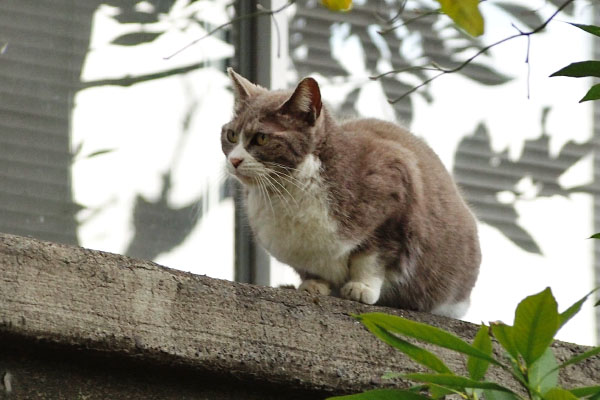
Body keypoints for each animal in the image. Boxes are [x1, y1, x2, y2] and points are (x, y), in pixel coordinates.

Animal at [221, 69, 482, 318]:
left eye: (261, 138)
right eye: (231, 135)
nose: (234, 160)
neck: (288, 191)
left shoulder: (395, 200)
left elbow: (372, 259)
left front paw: (361, 287)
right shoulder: (296, 247)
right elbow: (310, 267)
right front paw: (313, 285)